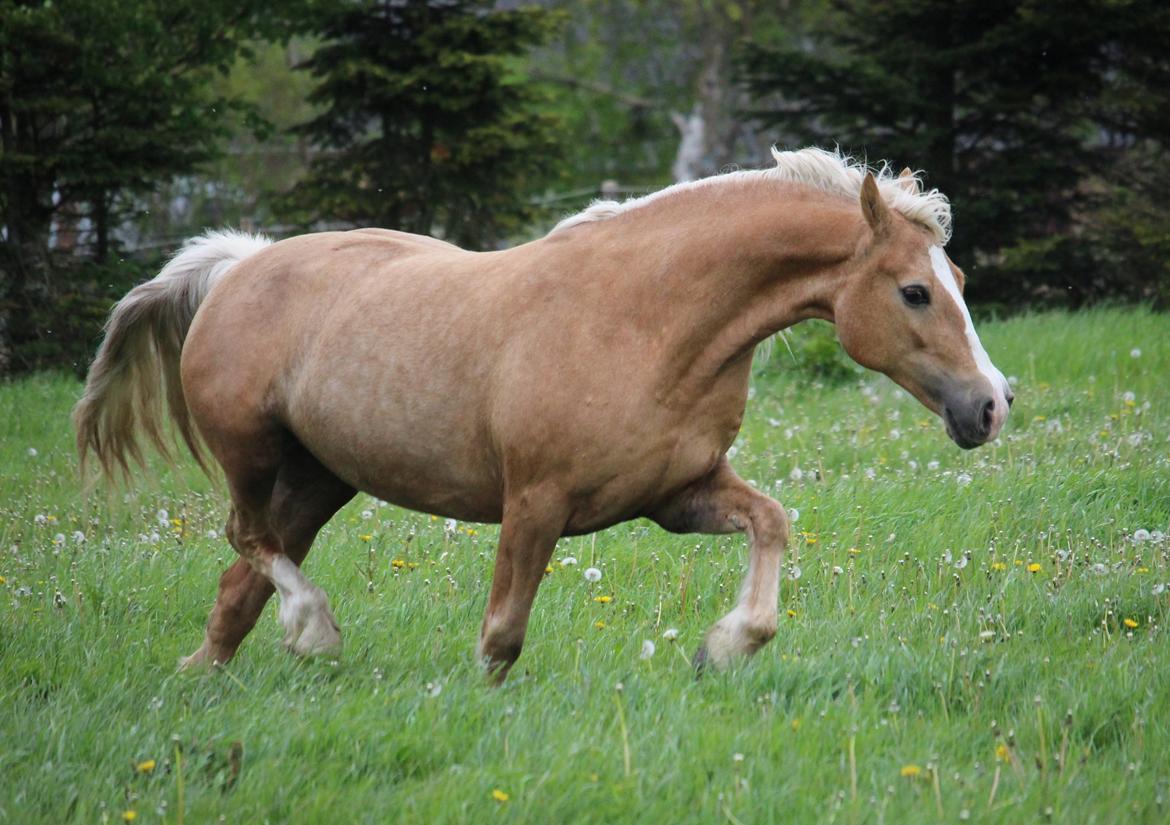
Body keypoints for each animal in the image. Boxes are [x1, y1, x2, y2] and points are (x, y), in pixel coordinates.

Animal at [73, 146, 1010, 674]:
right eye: (916, 291)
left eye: (960, 279)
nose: (992, 406)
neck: (644, 318)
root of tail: (237, 264)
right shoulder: (534, 503)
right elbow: (501, 638)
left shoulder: (677, 494)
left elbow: (772, 521)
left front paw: (725, 645)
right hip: (253, 454)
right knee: (246, 539)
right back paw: (315, 631)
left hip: (320, 478)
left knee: (241, 579)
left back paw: (211, 671)